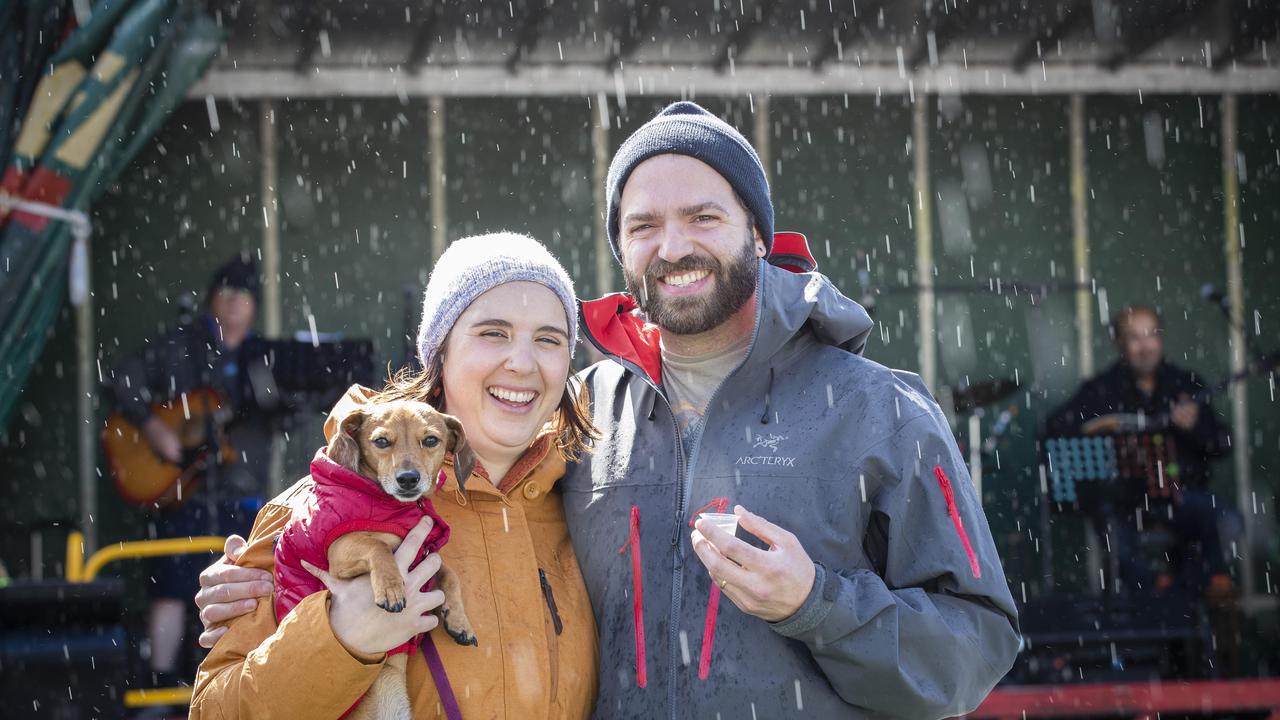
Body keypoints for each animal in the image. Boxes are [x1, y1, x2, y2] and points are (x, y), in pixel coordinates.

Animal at [275, 397, 481, 717]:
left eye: (430, 440)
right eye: (381, 441)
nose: (408, 479)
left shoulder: (427, 555)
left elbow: (450, 575)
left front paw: (460, 621)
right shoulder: (339, 551)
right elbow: (378, 547)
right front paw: (391, 587)